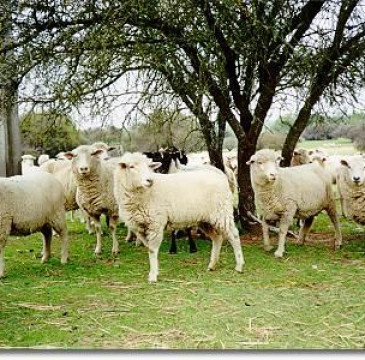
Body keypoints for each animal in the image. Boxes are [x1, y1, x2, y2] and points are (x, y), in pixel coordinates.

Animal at [113, 151, 245, 282]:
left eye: (149, 166)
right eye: (131, 167)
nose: (150, 180)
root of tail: (219, 174)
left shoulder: (155, 223)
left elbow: (152, 250)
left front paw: (153, 275)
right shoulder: (138, 227)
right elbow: (148, 248)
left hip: (222, 212)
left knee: (234, 235)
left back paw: (239, 266)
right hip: (205, 219)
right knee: (217, 238)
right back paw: (212, 265)